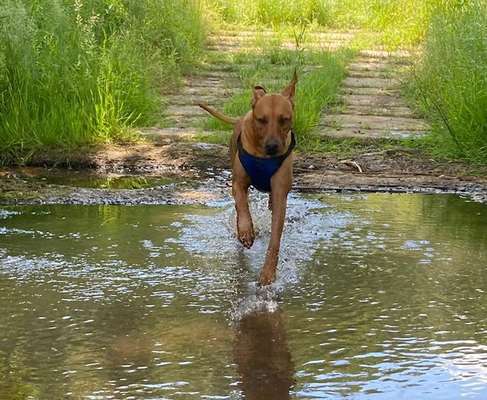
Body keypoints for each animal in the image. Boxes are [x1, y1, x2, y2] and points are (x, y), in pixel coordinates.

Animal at [198, 71, 298, 284]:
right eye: (261, 119)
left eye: (284, 119)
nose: (272, 146)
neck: (262, 155)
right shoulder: (238, 182)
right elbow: (242, 205)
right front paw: (245, 231)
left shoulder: (280, 191)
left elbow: (275, 237)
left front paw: (268, 273)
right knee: (239, 205)